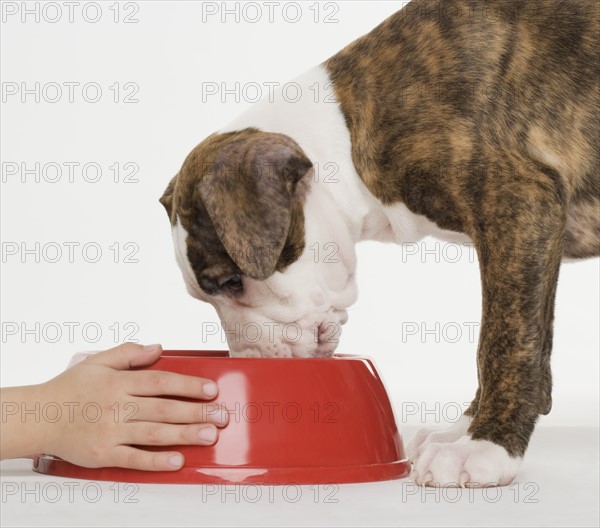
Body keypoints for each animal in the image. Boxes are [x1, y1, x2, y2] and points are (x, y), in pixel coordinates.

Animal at [161, 0, 600, 486]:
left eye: (232, 282)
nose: (249, 360)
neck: (348, 133)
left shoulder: (520, 204)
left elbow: (504, 341)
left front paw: (485, 446)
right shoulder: (534, 234)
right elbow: (531, 337)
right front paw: (463, 430)